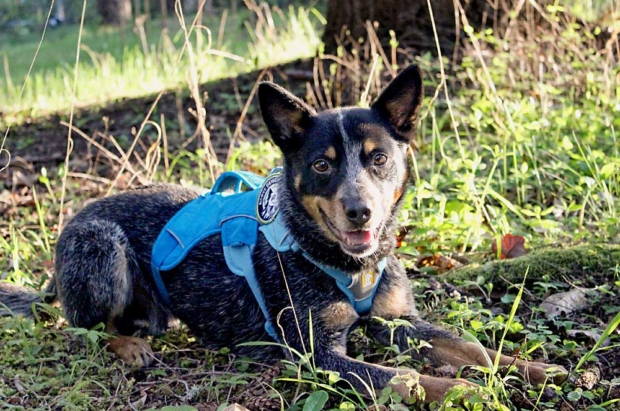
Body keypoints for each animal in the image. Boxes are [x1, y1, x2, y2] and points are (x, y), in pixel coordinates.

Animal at [0, 66, 568, 404]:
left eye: (379, 158)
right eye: (321, 165)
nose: (360, 212)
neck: (346, 263)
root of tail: (74, 219)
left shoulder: (396, 322)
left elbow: (470, 346)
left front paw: (537, 370)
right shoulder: (318, 354)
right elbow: (409, 378)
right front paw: (463, 393)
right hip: (102, 247)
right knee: (87, 329)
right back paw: (128, 348)